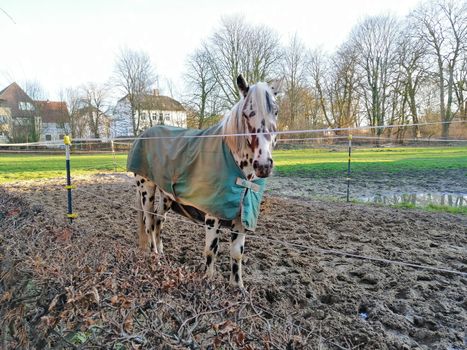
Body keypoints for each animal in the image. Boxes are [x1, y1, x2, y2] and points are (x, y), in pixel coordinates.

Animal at [126, 75, 284, 288]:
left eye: (275, 111)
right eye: (247, 113)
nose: (264, 165)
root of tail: (142, 135)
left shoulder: (242, 217)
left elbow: (237, 254)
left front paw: (237, 287)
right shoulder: (212, 216)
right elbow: (211, 251)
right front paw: (208, 282)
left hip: (166, 196)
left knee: (159, 221)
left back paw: (162, 254)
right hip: (146, 190)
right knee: (150, 222)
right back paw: (155, 256)